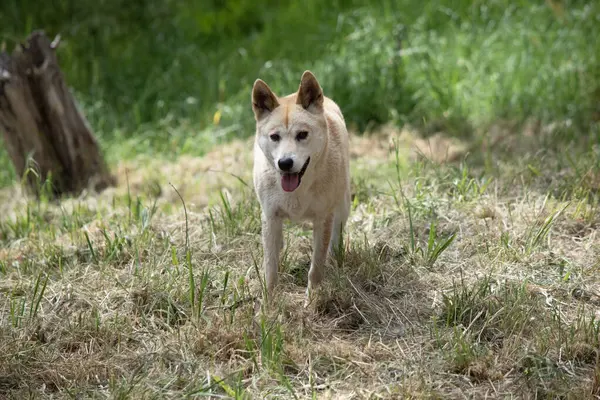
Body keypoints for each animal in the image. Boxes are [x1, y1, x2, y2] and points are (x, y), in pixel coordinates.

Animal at [250, 69, 352, 304]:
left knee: (337, 232)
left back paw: (335, 257)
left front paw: (311, 301)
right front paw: (269, 306)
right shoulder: (270, 216)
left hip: (343, 204)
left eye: (302, 134)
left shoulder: (323, 218)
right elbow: (270, 269)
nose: (285, 163)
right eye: (275, 137)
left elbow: (316, 268)